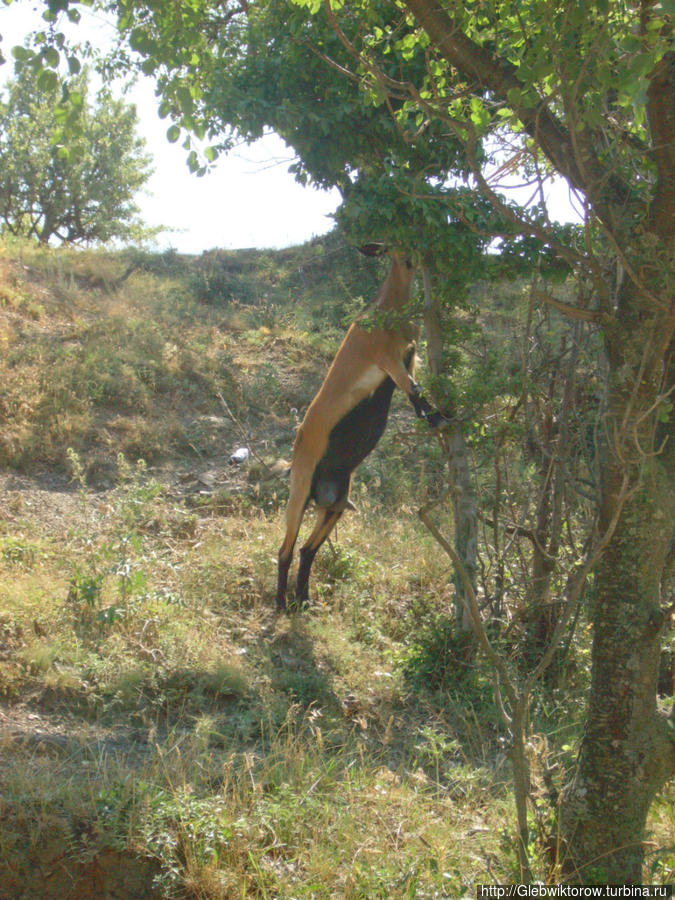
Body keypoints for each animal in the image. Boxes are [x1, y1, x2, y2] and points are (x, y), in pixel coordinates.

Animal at [278, 246, 446, 612]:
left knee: (307, 549)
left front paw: (435, 418)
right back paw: (281, 604)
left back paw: (304, 599)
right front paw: (442, 418)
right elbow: (415, 391)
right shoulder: (388, 359)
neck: (387, 309)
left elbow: (415, 396)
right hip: (299, 491)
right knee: (285, 549)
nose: (413, 258)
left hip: (335, 506)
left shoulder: (409, 356)